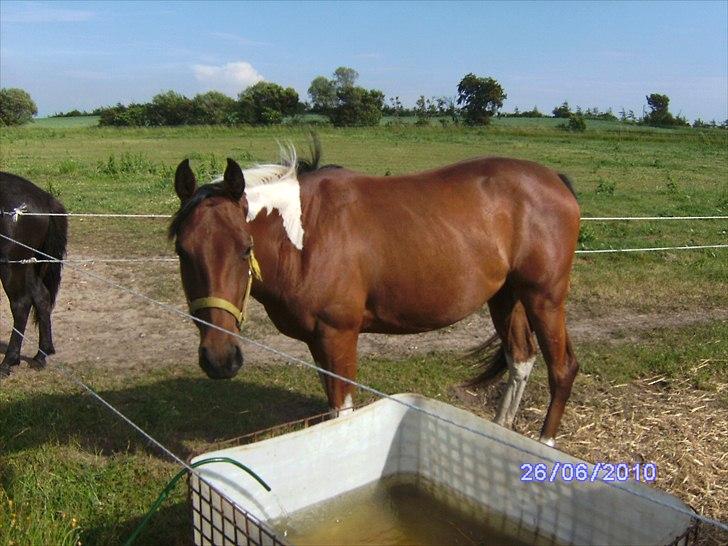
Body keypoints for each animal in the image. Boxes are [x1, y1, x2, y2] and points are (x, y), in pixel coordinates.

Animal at [0, 172, 68, 377]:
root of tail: (44, 199)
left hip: (13, 268)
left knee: (21, 305)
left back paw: (9, 361)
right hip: (28, 266)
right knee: (41, 298)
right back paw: (40, 356)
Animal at [169, 143, 580, 445]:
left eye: (245, 248)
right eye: (182, 252)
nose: (220, 359)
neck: (306, 235)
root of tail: (555, 180)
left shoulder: (338, 335)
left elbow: (342, 412)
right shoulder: (317, 341)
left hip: (544, 298)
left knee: (562, 369)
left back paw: (544, 444)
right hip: (507, 297)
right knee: (520, 360)